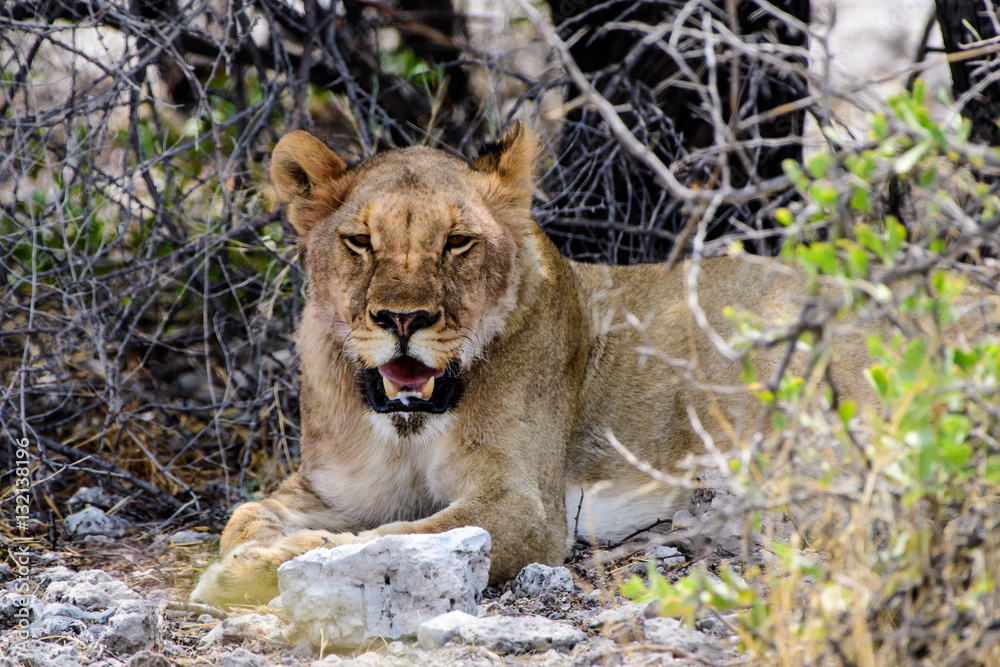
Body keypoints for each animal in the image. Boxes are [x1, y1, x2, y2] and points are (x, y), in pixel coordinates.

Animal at [191, 122, 998, 608]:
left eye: (457, 242)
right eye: (359, 241)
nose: (402, 320)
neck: (408, 423)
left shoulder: (524, 508)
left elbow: (387, 539)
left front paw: (256, 569)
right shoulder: (332, 487)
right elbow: (244, 515)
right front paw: (251, 549)